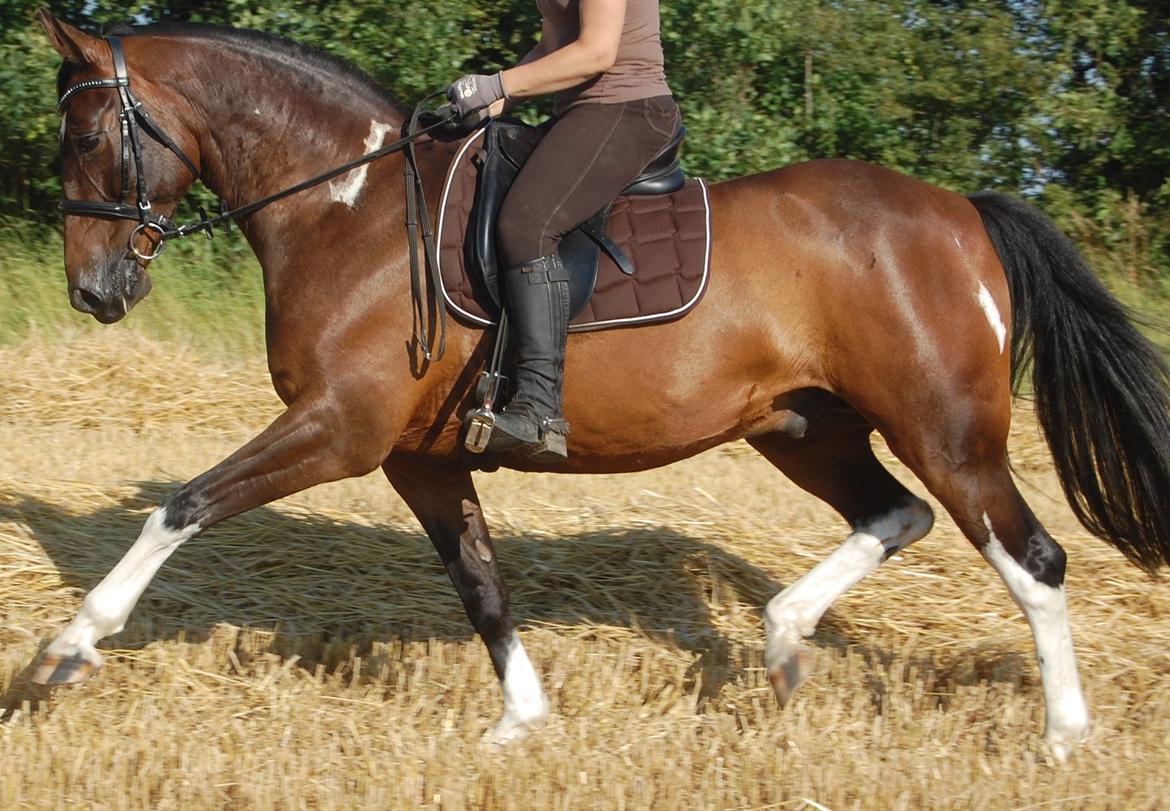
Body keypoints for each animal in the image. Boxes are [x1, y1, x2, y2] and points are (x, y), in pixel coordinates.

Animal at [32, 11, 1170, 758]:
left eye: (85, 137)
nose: (92, 291)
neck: (347, 206)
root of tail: (963, 212)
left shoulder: (339, 429)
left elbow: (183, 506)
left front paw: (66, 649)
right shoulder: (415, 459)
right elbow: (481, 582)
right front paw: (520, 723)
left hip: (947, 429)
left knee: (1032, 557)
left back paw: (1064, 738)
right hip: (806, 428)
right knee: (895, 515)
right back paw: (783, 640)